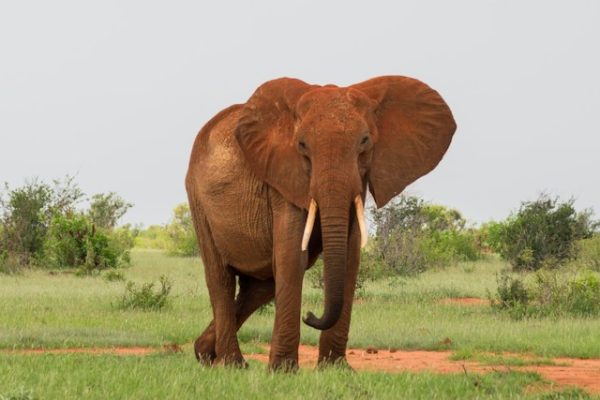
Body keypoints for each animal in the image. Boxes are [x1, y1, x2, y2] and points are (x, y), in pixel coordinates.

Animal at [185, 74, 458, 368]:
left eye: (364, 141)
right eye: (302, 145)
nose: (310, 315)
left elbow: (349, 255)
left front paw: (335, 369)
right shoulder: (284, 178)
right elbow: (293, 256)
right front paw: (283, 370)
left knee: (260, 287)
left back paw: (204, 353)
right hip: (198, 200)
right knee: (221, 278)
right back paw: (231, 364)